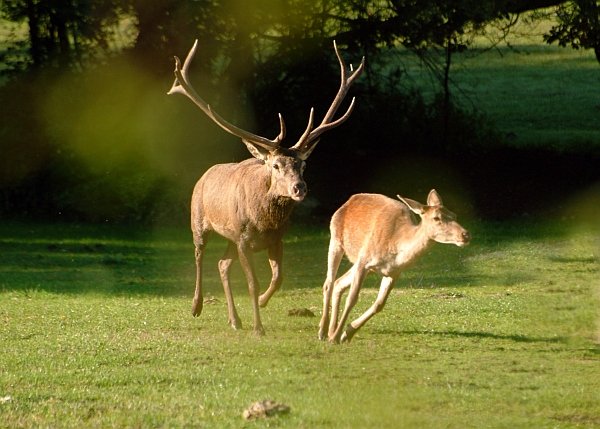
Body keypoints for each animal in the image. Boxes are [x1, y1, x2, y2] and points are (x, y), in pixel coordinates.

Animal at [166, 41, 364, 334]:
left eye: (303, 164)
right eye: (276, 165)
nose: (299, 188)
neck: (264, 220)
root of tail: (205, 174)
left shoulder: (275, 239)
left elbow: (278, 278)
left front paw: (262, 301)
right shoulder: (244, 240)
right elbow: (252, 282)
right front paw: (258, 326)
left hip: (230, 237)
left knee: (223, 264)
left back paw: (235, 320)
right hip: (199, 220)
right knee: (200, 255)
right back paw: (196, 306)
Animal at [316, 189, 472, 342]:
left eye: (454, 215)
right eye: (436, 218)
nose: (465, 234)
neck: (396, 246)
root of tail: (348, 201)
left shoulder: (393, 272)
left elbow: (379, 304)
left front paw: (347, 333)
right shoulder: (364, 261)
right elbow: (352, 299)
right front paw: (336, 337)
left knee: (339, 282)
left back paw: (331, 330)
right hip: (336, 240)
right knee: (329, 283)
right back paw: (323, 331)